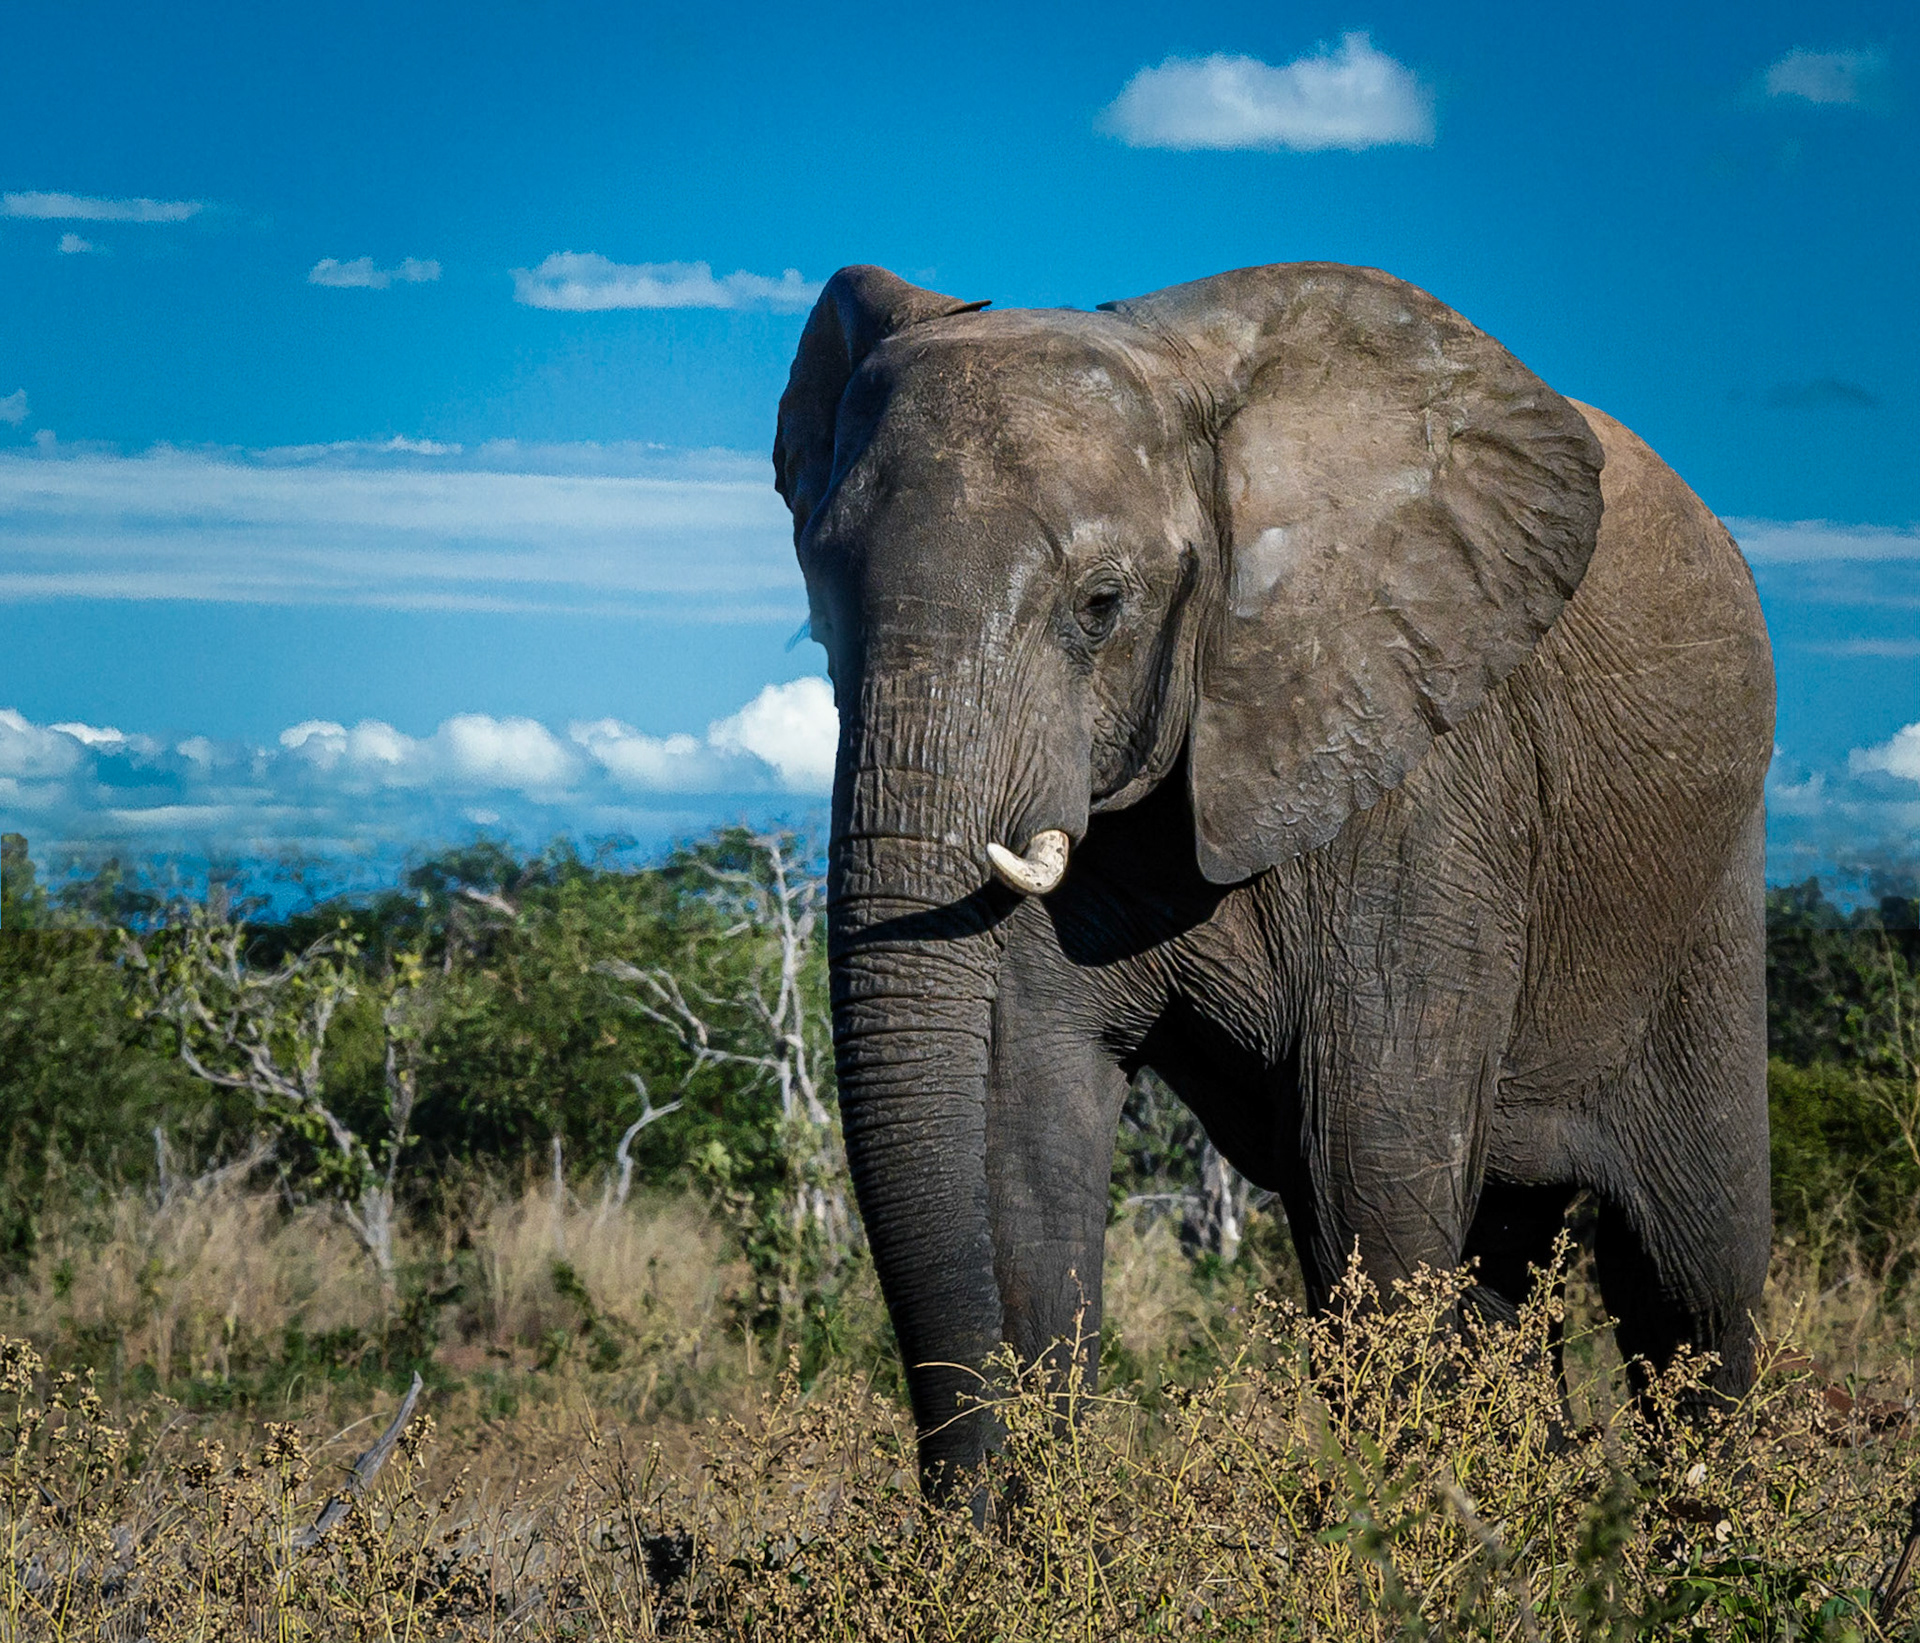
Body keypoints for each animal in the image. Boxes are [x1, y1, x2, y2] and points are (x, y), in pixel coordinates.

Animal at [772, 260, 1775, 1492]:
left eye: (1100, 605)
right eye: (822, 617)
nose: (970, 1509)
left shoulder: (1424, 772)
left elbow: (1370, 1178)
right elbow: (1026, 1133)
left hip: (1704, 889)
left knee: (1688, 1276)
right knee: (1506, 1264)